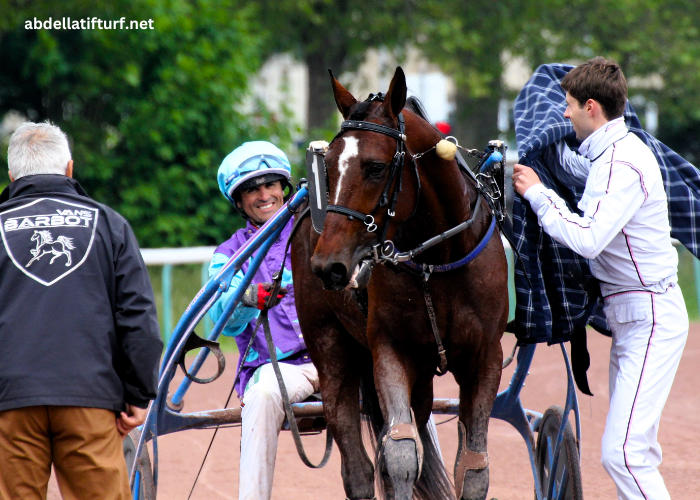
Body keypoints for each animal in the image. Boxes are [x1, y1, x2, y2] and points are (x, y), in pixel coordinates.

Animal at [290, 67, 508, 500]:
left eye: (375, 167)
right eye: (328, 167)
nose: (327, 266)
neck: (436, 263)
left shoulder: (485, 357)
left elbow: (473, 466)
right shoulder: (390, 349)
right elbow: (401, 454)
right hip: (330, 345)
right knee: (356, 463)